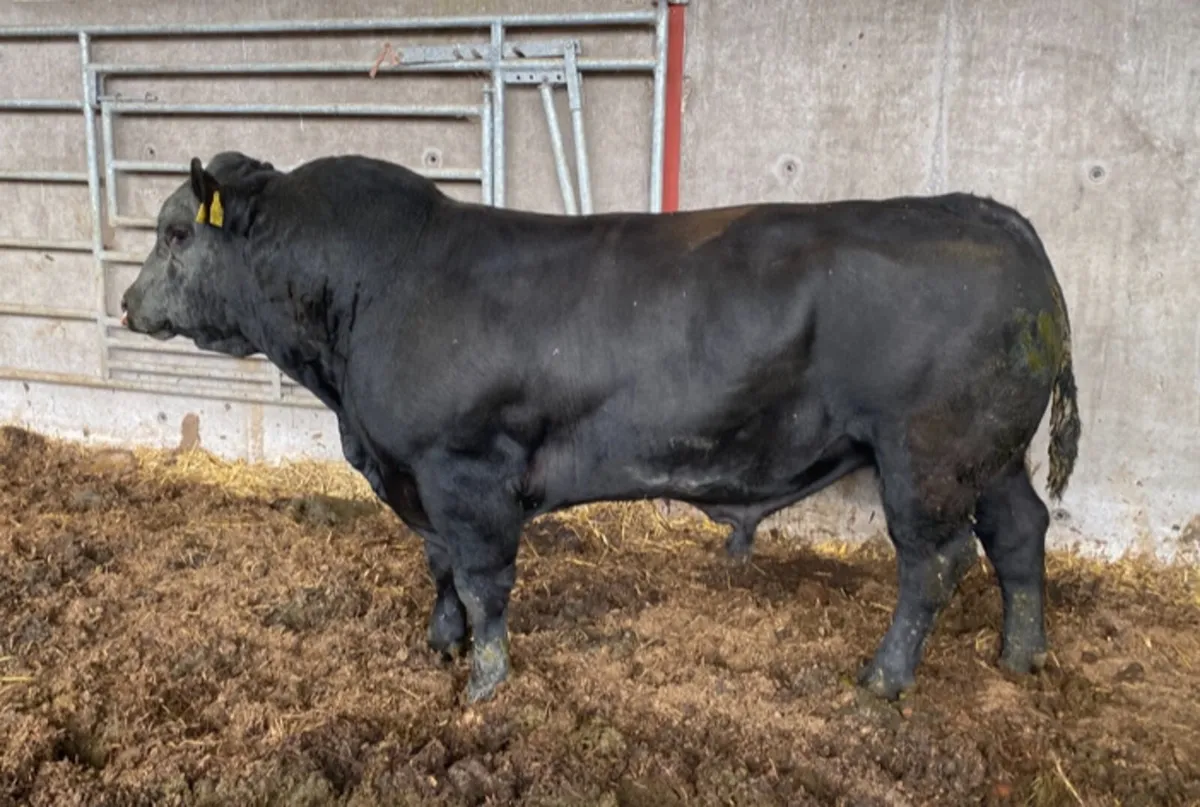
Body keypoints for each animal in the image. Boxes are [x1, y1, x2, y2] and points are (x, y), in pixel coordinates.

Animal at [120, 151, 1081, 704]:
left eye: (175, 233)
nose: (128, 304)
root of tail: (979, 209)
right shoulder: (413, 474)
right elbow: (437, 568)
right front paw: (438, 645)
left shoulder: (467, 472)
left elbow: (481, 581)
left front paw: (484, 681)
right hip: (989, 454)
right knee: (1019, 531)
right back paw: (1021, 654)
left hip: (926, 454)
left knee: (937, 561)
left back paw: (883, 678)